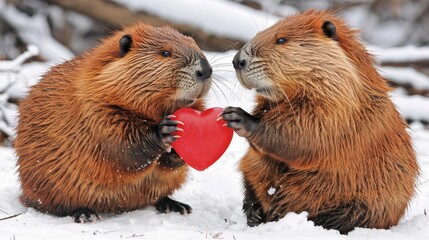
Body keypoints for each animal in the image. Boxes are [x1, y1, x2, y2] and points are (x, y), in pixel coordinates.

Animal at [15, 21, 212, 222]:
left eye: (195, 44)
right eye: (165, 53)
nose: (205, 70)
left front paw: (182, 146)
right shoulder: (94, 110)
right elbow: (122, 145)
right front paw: (165, 131)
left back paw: (177, 206)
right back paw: (85, 214)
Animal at [221, 10, 418, 233]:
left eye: (281, 40)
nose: (238, 60)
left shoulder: (341, 108)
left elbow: (307, 133)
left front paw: (238, 116)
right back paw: (254, 213)